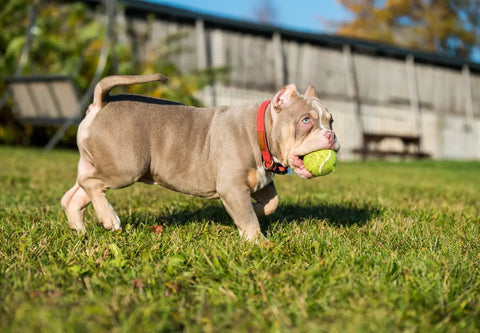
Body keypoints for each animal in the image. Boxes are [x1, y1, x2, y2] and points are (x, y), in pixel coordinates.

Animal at [61, 74, 342, 240]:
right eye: (306, 121)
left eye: (331, 121)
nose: (331, 136)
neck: (260, 130)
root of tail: (102, 102)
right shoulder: (232, 186)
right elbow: (249, 217)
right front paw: (259, 242)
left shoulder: (261, 181)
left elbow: (272, 202)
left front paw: (255, 210)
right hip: (125, 167)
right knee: (91, 183)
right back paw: (109, 218)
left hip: (104, 163)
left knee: (77, 193)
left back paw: (80, 228)